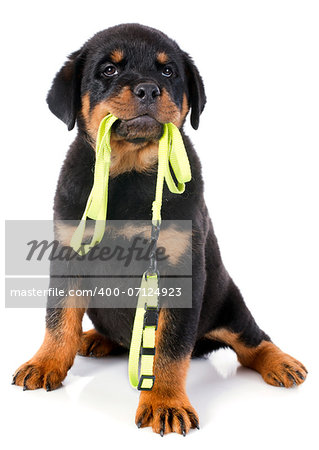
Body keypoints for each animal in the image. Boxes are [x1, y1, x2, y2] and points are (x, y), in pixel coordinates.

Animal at [11, 23, 308, 436]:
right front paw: (46, 362)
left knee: (251, 340)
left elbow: (169, 348)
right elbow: (59, 318)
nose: (149, 89)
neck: (130, 172)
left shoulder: (178, 271)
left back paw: (280, 362)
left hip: (227, 302)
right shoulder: (69, 253)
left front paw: (165, 402)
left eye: (168, 72)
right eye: (108, 70)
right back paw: (95, 339)